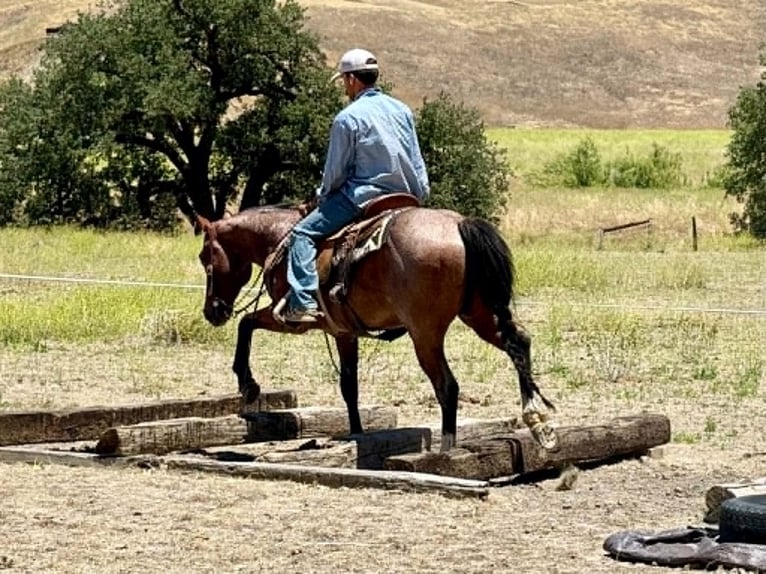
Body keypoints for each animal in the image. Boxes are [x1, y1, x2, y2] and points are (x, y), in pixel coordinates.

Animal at [196, 196, 557, 452]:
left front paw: (248, 384)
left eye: (203, 257)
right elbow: (349, 387)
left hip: (425, 334)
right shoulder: (342, 332)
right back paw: (539, 424)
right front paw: (357, 433)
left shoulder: (291, 318)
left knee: (447, 386)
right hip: (480, 316)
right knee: (519, 343)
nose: (212, 311)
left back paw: (446, 450)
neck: (278, 238)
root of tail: (459, 225)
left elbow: (246, 323)